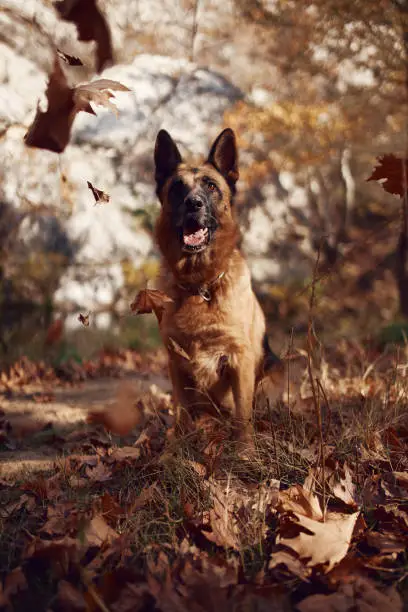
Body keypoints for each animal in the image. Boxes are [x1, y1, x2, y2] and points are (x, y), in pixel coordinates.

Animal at [155, 128, 278, 440]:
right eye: (177, 188)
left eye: (211, 186)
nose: (193, 204)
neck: (200, 284)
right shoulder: (176, 364)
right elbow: (181, 416)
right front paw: (176, 449)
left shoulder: (239, 360)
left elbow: (243, 417)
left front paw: (245, 451)